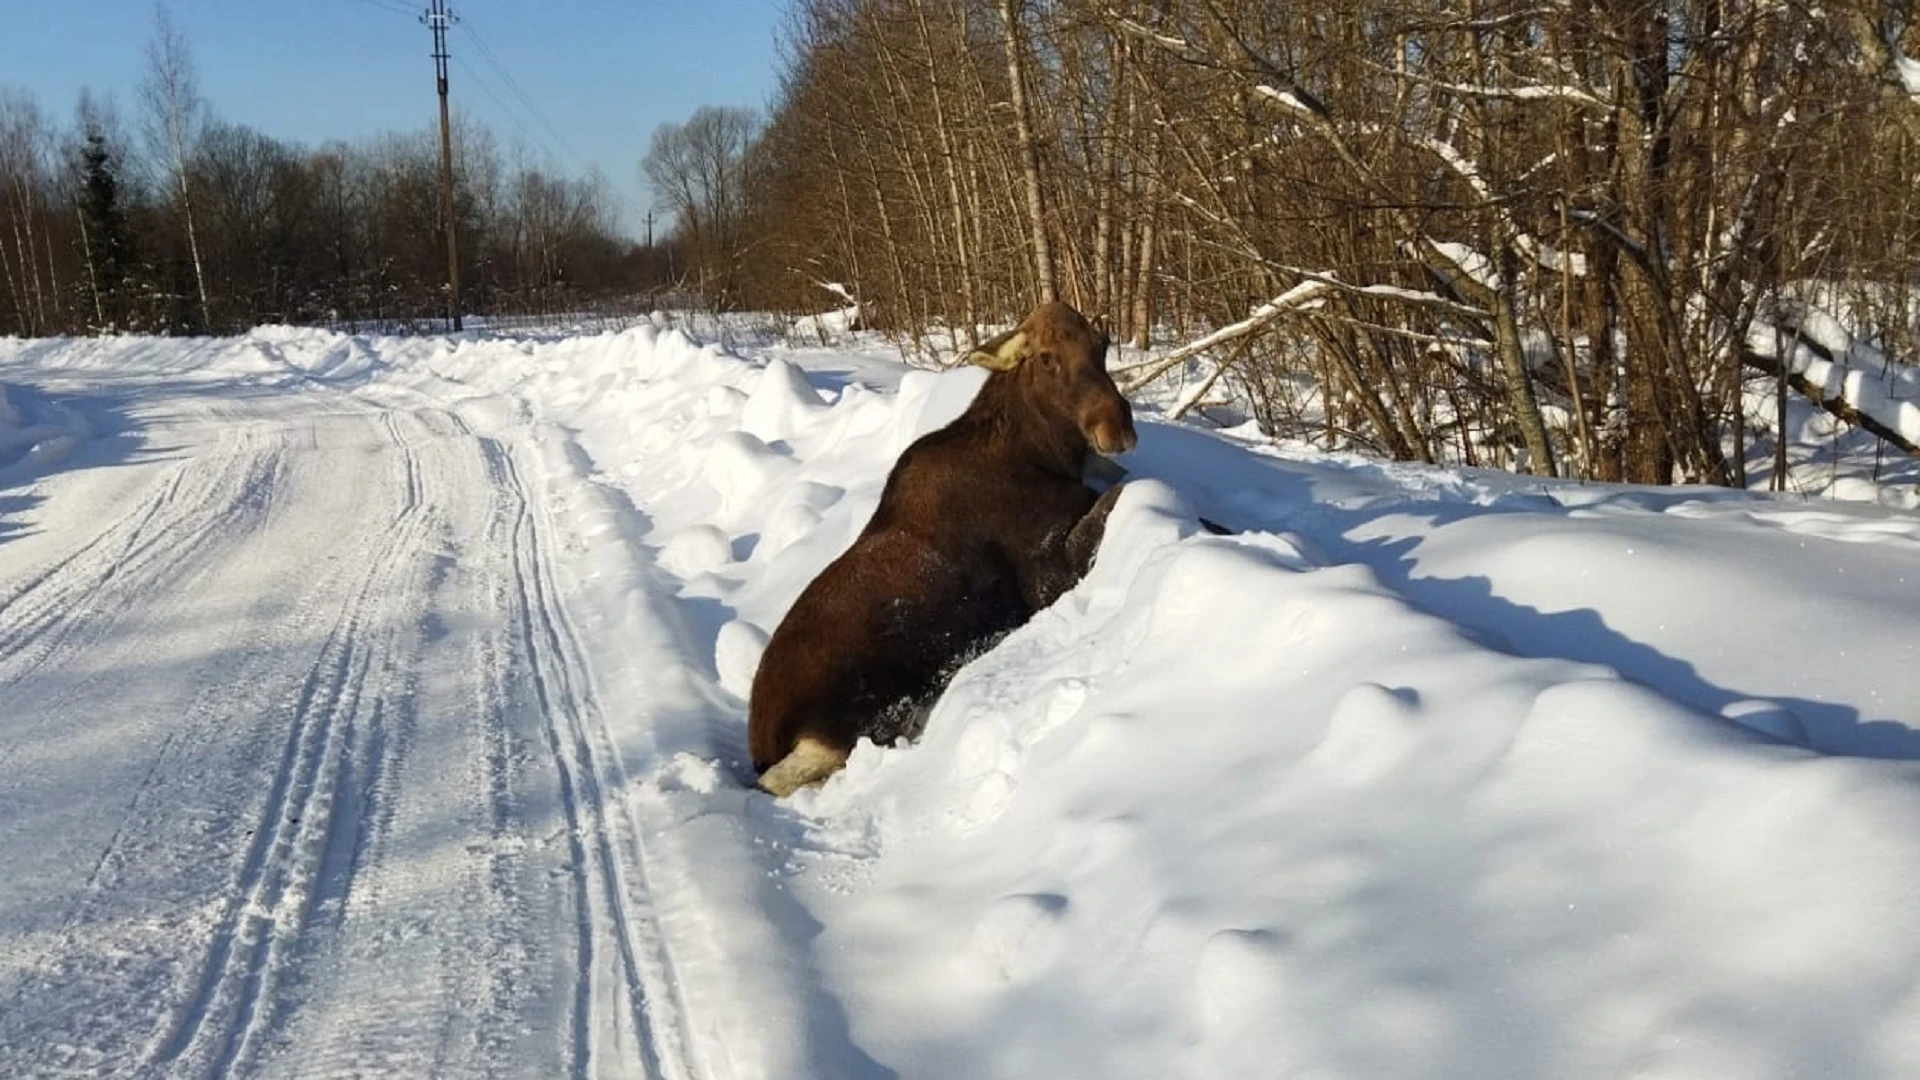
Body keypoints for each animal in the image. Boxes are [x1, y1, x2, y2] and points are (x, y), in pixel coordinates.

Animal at [744, 297, 1136, 795]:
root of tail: (761, 741)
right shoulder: (1047, 575)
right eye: (1047, 358)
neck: (1045, 455)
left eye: (1101, 343)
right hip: (849, 724)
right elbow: (1120, 498)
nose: (1116, 426)